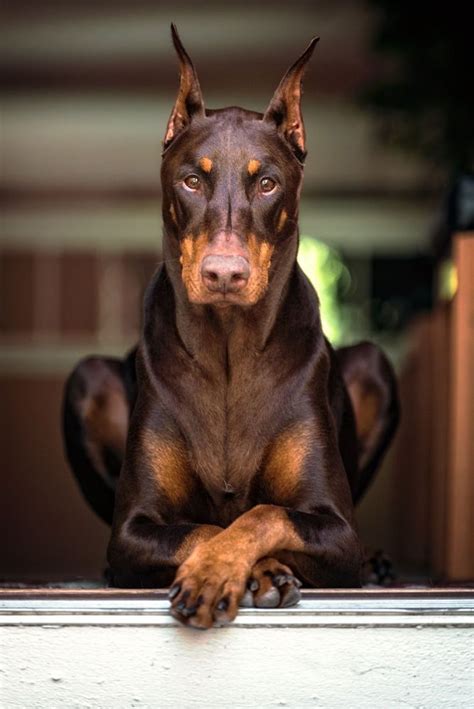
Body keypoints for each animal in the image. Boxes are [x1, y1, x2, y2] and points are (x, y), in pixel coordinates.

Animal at [61, 24, 398, 628]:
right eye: (193, 180)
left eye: (267, 184)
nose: (224, 274)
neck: (228, 345)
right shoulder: (132, 532)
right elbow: (204, 527)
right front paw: (240, 572)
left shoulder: (338, 531)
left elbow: (263, 513)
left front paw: (229, 572)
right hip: (88, 379)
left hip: (374, 366)